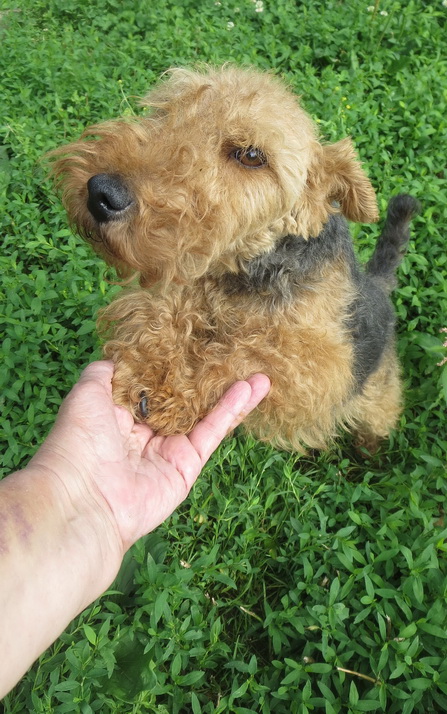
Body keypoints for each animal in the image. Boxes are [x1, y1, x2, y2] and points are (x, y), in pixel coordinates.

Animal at [51, 65, 419, 453]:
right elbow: (159, 315)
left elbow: (242, 356)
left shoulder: (313, 361)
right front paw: (148, 372)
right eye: (165, 110)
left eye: (252, 156)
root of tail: (379, 284)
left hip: (377, 394)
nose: (101, 193)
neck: (247, 268)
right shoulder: (179, 284)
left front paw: (174, 395)